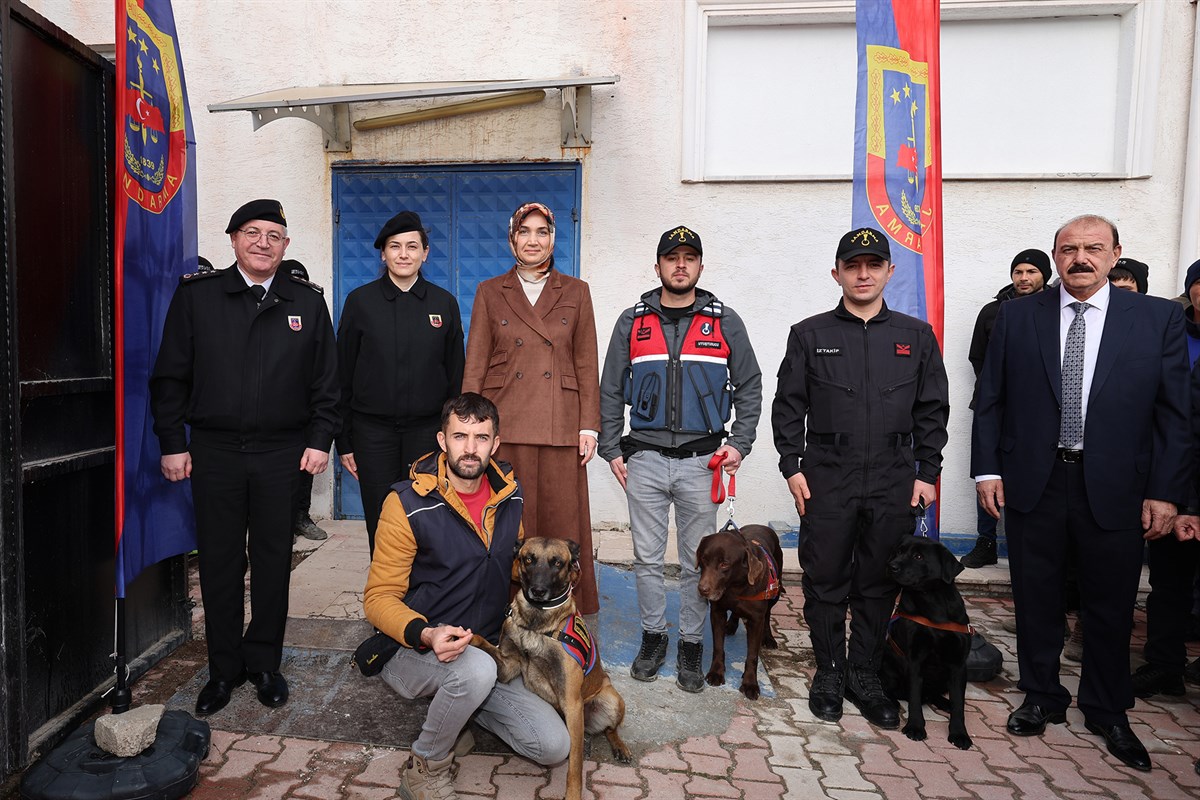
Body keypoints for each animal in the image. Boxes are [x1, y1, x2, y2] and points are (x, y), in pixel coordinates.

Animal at [472, 537, 633, 800]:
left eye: (557, 563)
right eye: (529, 559)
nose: (538, 591)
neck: (535, 625)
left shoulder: (572, 702)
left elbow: (575, 766)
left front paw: (573, 794)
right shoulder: (507, 667)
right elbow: (482, 642)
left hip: (611, 700)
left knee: (611, 730)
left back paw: (620, 747)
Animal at [696, 522, 787, 695]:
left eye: (724, 564)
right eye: (703, 559)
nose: (702, 589)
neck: (735, 587)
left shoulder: (756, 620)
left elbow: (752, 655)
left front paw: (750, 683)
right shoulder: (717, 613)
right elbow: (718, 647)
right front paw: (716, 672)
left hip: (775, 594)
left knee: (768, 614)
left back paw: (769, 638)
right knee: (736, 613)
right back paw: (731, 625)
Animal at [883, 537, 974, 753]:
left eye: (918, 556)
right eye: (898, 552)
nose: (891, 566)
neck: (932, 600)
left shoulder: (958, 665)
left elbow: (959, 703)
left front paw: (959, 733)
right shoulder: (915, 660)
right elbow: (915, 697)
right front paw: (915, 727)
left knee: (935, 694)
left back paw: (944, 702)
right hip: (889, 665)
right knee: (893, 690)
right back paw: (892, 702)